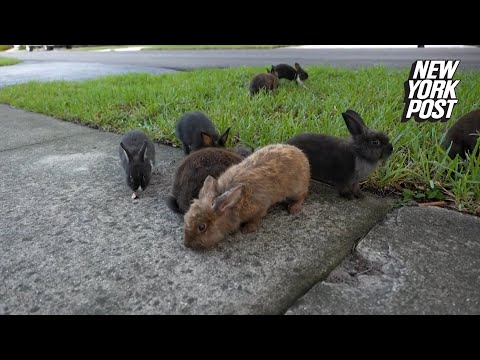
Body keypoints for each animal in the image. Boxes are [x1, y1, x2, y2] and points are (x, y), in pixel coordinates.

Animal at [182, 142, 310, 249]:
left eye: (202, 227)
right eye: (186, 218)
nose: (187, 244)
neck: (233, 206)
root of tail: (300, 154)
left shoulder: (260, 207)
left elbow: (256, 218)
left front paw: (248, 229)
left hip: (296, 189)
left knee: (301, 195)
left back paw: (294, 208)